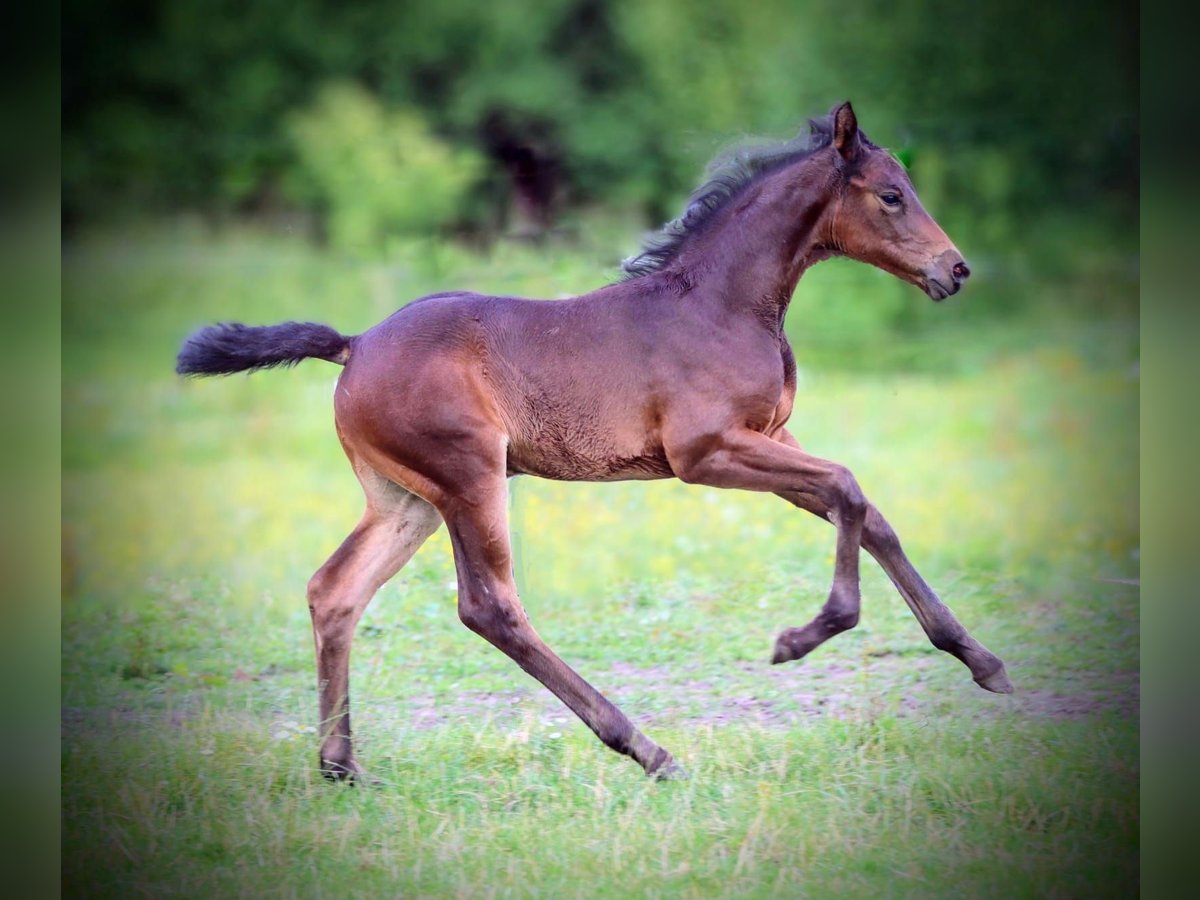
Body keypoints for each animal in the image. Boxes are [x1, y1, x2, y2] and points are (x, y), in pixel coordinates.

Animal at [177, 103, 1012, 782]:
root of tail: (353, 347)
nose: (957, 269)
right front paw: (802, 637)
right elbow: (847, 486)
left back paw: (340, 763)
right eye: (891, 194)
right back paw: (647, 749)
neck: (722, 302)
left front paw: (982, 661)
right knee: (490, 607)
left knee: (336, 591)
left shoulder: (769, 436)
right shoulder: (704, 453)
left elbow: (869, 513)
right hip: (468, 477)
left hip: (406, 499)